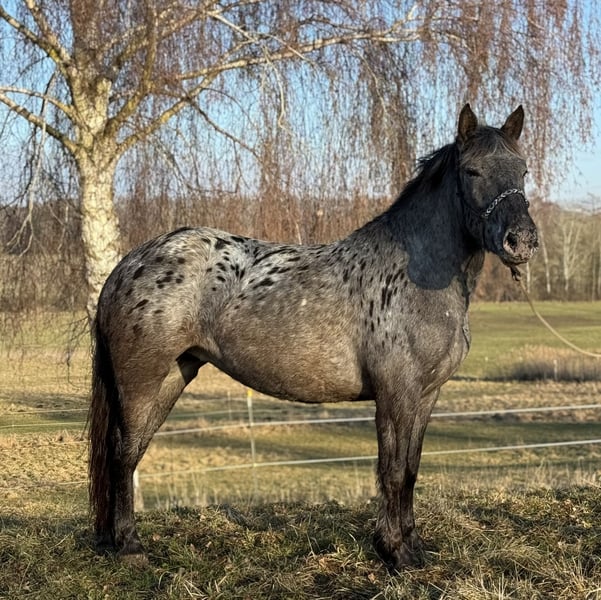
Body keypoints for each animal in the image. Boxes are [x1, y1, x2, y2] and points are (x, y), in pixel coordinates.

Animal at [88, 104, 538, 570]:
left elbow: (411, 470)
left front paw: (413, 548)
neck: (415, 275)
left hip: (174, 376)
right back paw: (129, 547)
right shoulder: (396, 394)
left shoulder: (426, 395)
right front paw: (394, 552)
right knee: (122, 453)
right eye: (472, 171)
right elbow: (392, 470)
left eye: (523, 169)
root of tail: (126, 266)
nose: (520, 240)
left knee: (132, 451)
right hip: (141, 380)